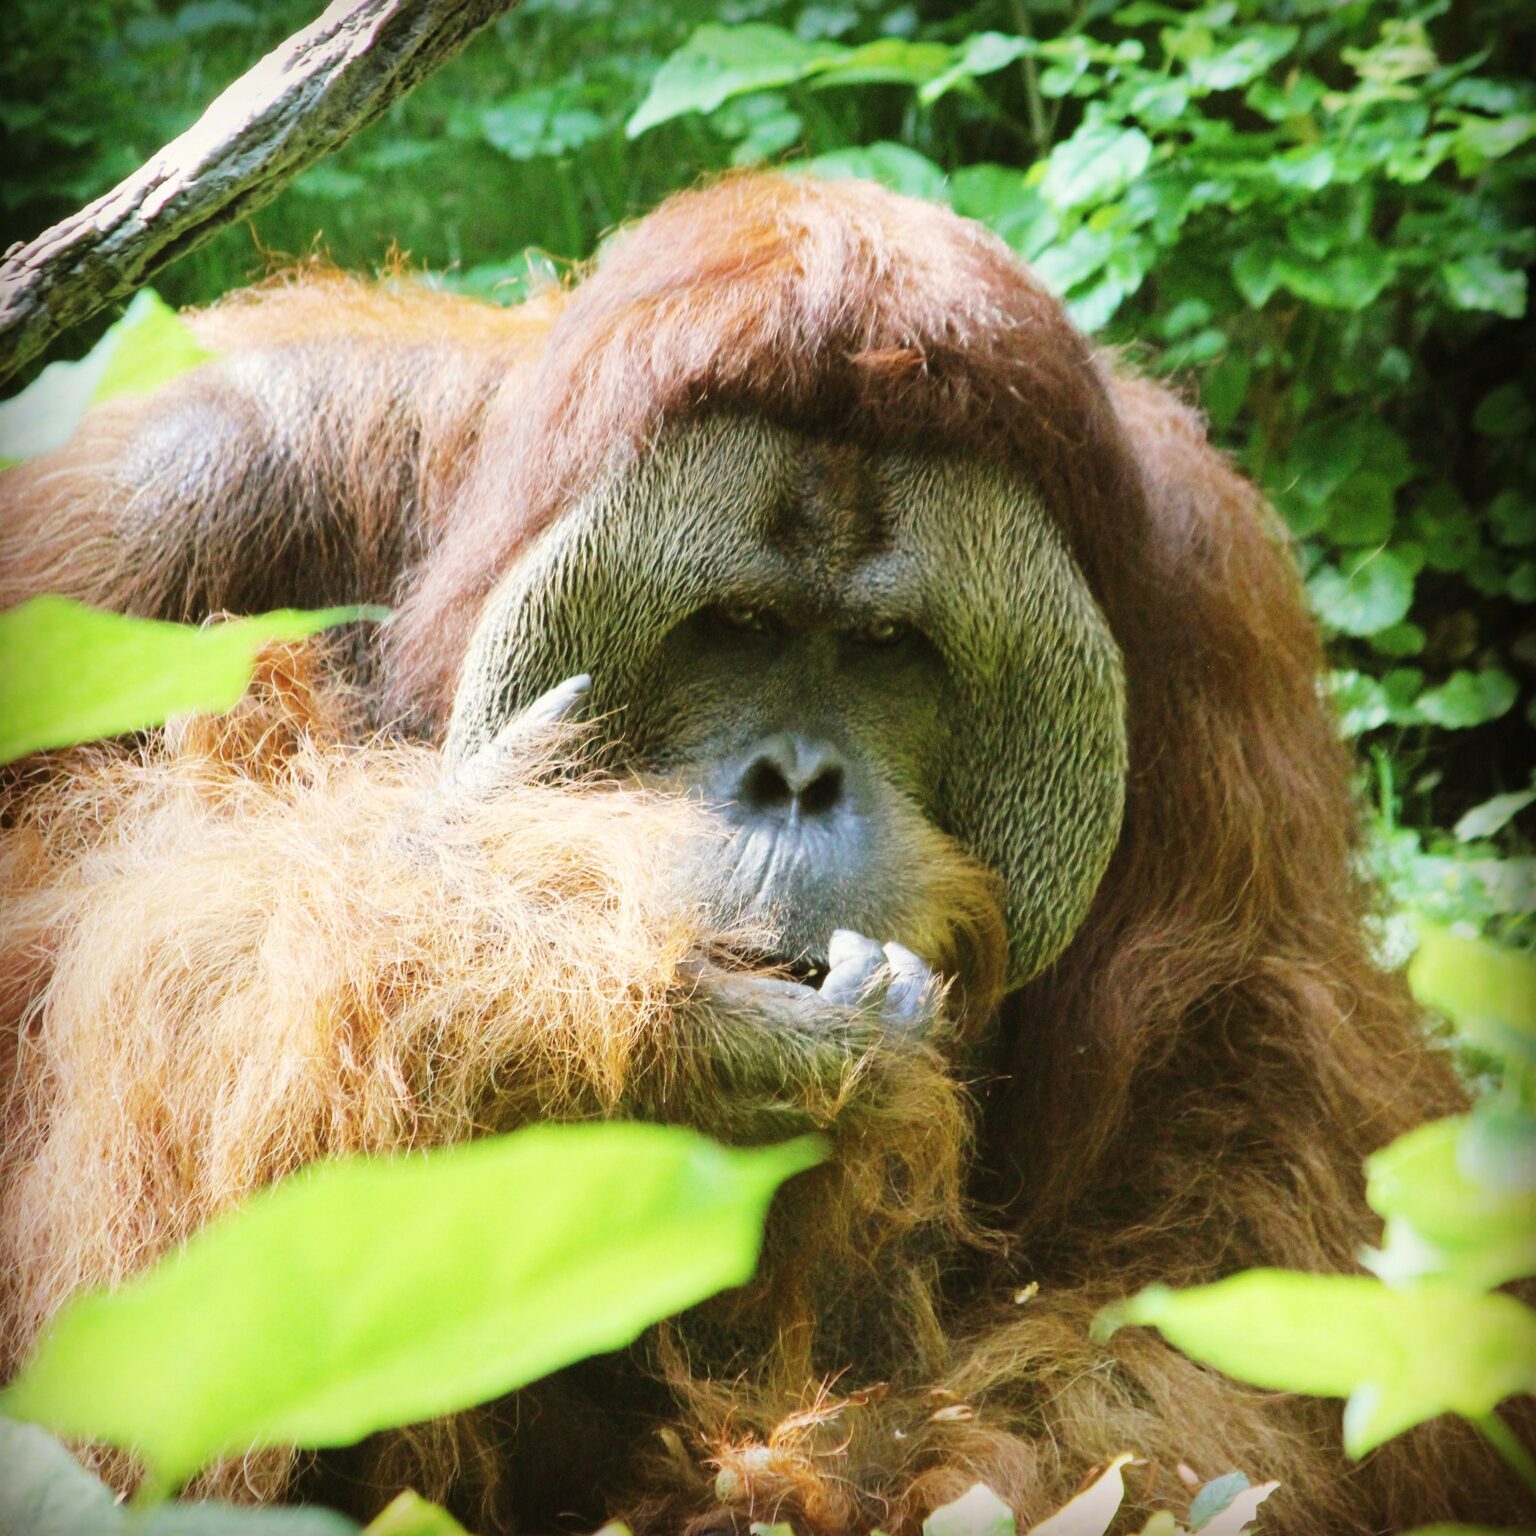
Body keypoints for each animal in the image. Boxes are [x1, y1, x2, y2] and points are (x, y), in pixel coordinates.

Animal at [0, 172, 1525, 1534]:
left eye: (889, 649)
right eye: (733, 627)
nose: (795, 780)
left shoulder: (1221, 633)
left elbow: (1243, 1238)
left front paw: (818, 1476)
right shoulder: (175, 490)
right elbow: (77, 964)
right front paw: (574, 968)